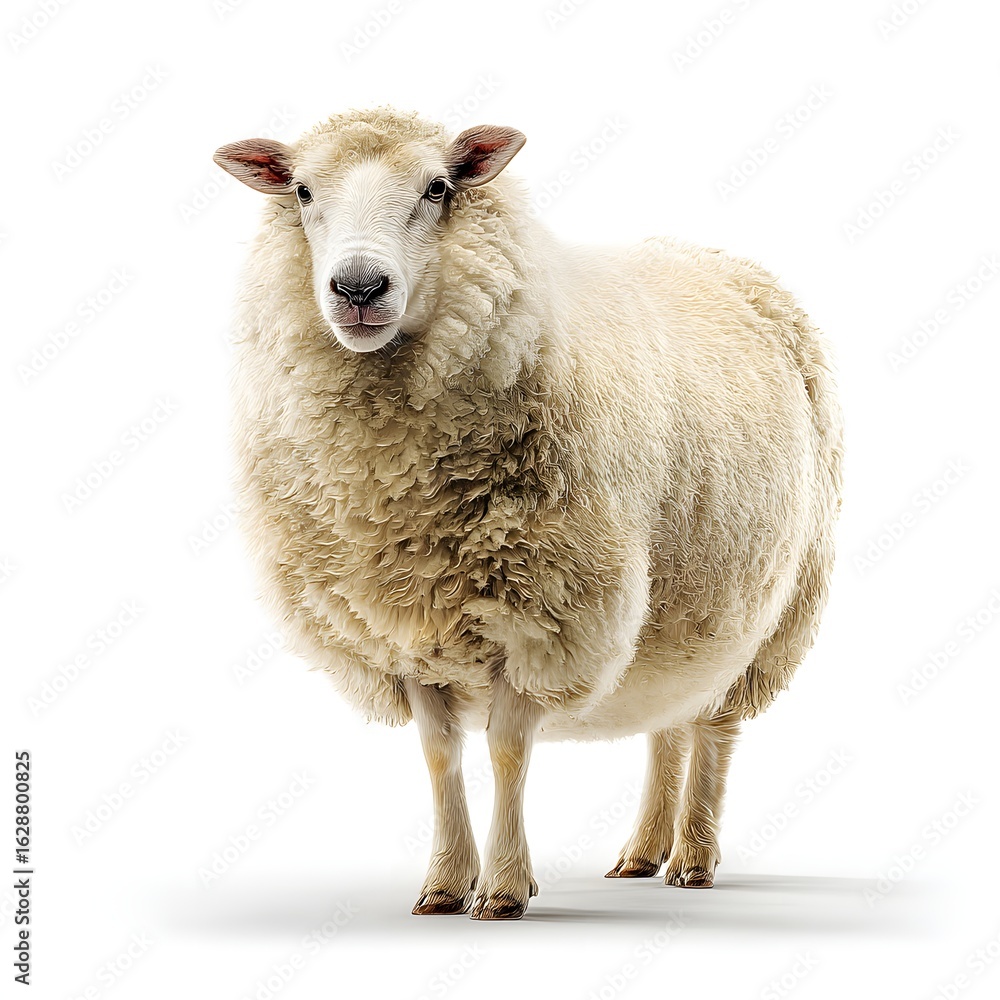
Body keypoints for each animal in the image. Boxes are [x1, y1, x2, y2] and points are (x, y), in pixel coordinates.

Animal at [214, 106, 843, 920]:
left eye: (439, 187)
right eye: (301, 190)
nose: (358, 286)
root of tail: (718, 258)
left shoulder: (545, 611)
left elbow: (508, 749)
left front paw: (506, 888)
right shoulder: (411, 625)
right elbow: (439, 753)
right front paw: (446, 883)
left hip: (765, 604)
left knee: (713, 725)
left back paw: (694, 859)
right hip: (679, 601)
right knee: (668, 725)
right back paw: (645, 851)